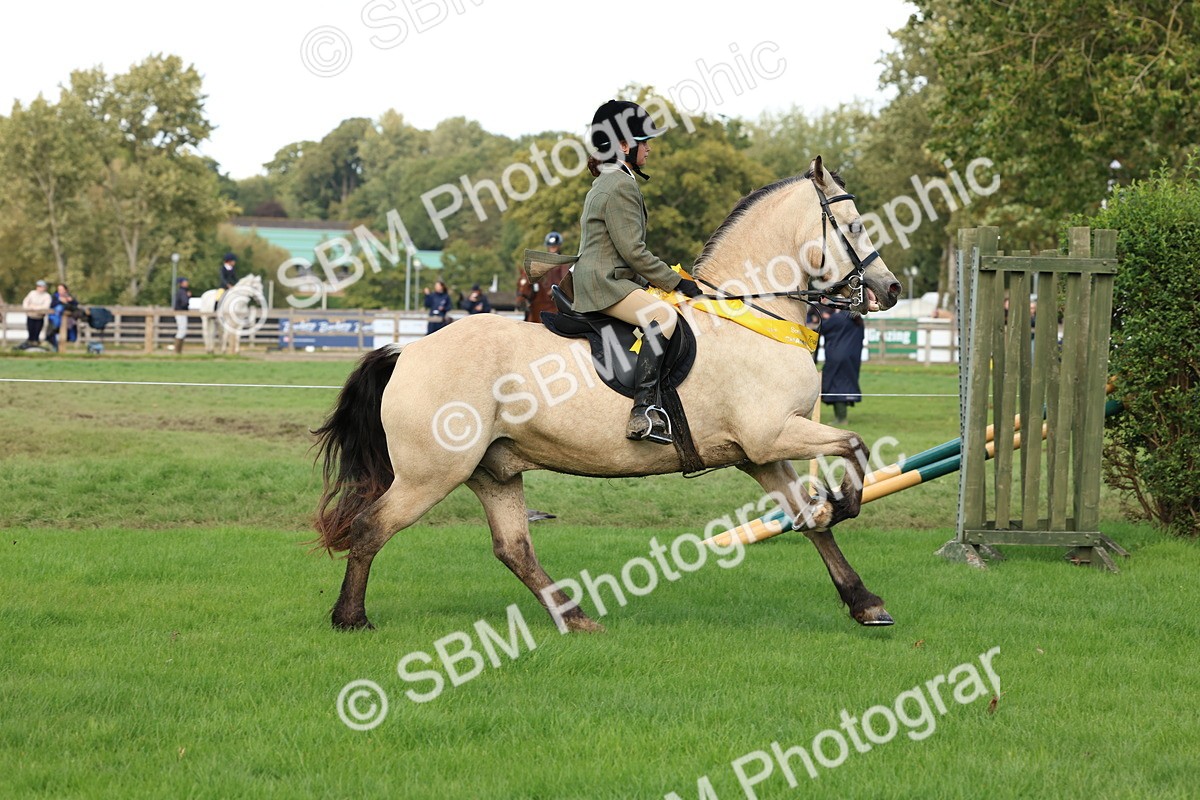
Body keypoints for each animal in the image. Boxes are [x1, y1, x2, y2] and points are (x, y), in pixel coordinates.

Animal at [314, 156, 902, 632]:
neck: (751, 312)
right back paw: (351, 618)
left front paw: (865, 602)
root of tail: (408, 352)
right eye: (854, 226)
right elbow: (853, 444)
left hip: (493, 469)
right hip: (432, 474)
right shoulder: (773, 434)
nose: (890, 289)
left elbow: (810, 521)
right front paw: (844, 502)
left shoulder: (760, 454)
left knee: (513, 548)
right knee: (371, 527)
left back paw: (575, 618)